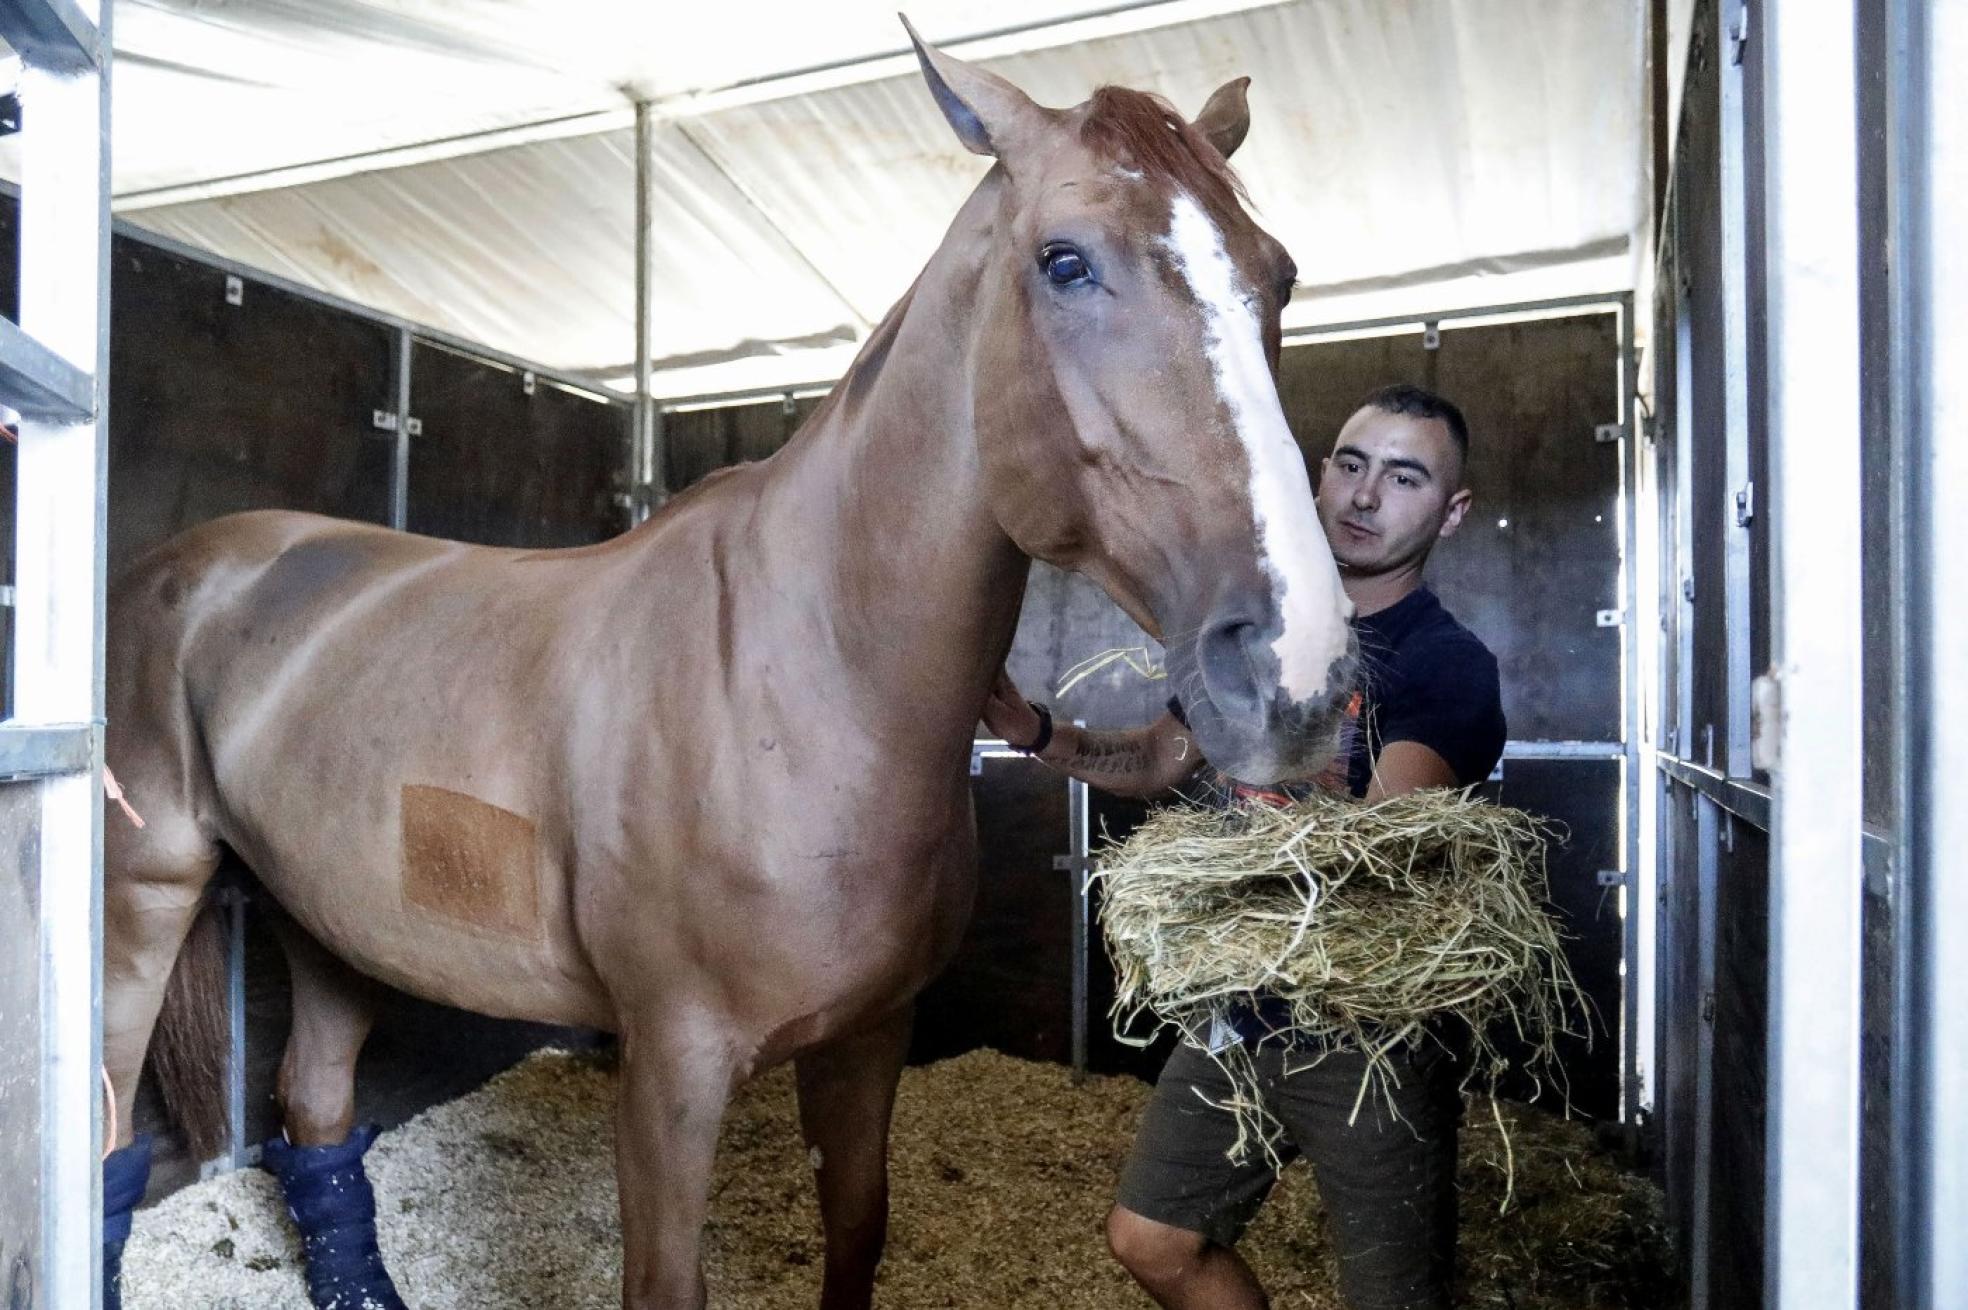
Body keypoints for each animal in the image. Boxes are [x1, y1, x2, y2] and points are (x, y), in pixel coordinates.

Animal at [100, 25, 1356, 1310]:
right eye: (1065, 262)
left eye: (1279, 276)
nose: (1296, 670)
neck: (803, 679)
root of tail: (180, 562)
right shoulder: (671, 1068)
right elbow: (667, 1280)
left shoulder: (869, 1035)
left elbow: (858, 1225)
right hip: (133, 905)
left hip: (331, 918)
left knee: (313, 1106)